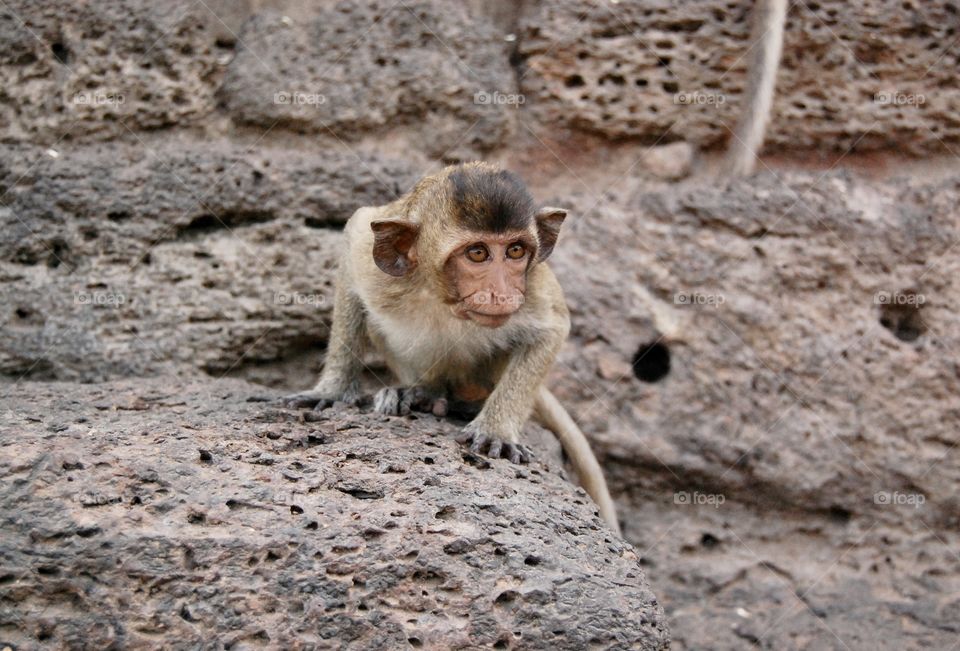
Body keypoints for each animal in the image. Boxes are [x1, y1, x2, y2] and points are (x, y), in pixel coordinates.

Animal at [282, 162, 621, 535]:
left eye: (515, 251)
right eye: (478, 253)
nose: (502, 292)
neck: (443, 297)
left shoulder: (531, 282)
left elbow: (552, 328)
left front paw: (496, 429)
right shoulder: (371, 264)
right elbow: (351, 262)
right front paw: (334, 389)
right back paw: (425, 392)